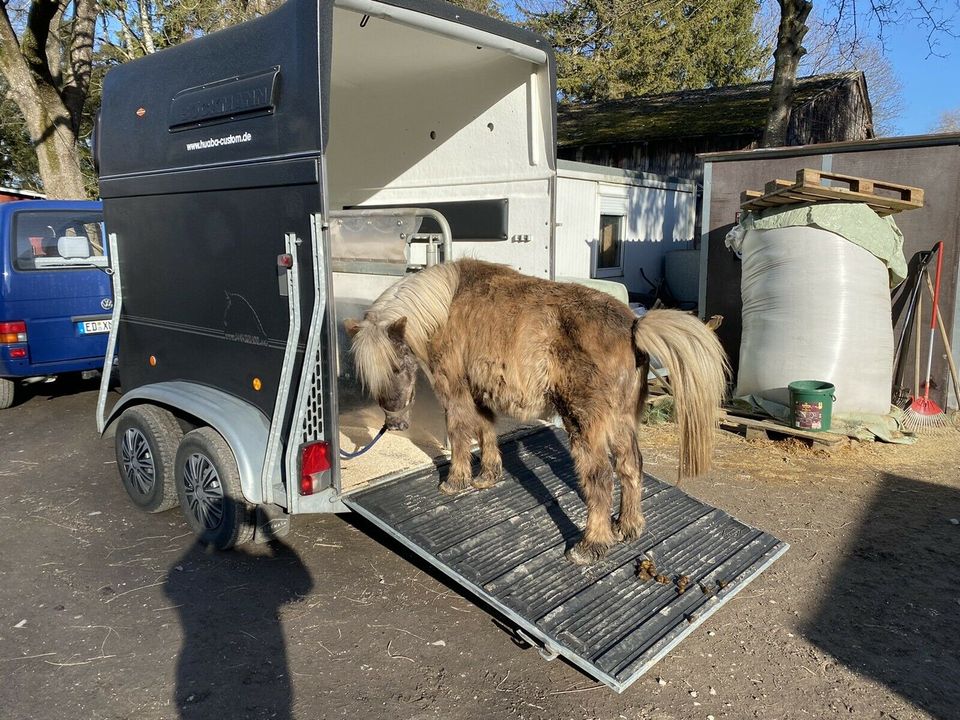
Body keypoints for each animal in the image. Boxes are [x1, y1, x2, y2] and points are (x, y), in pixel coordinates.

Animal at [344, 262, 728, 564]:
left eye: (396, 366)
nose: (394, 423)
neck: (444, 307)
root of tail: (633, 326)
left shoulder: (454, 390)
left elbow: (458, 432)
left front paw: (455, 481)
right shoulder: (481, 391)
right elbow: (486, 430)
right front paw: (487, 476)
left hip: (584, 423)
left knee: (600, 478)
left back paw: (590, 546)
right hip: (622, 421)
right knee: (630, 467)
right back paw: (628, 526)